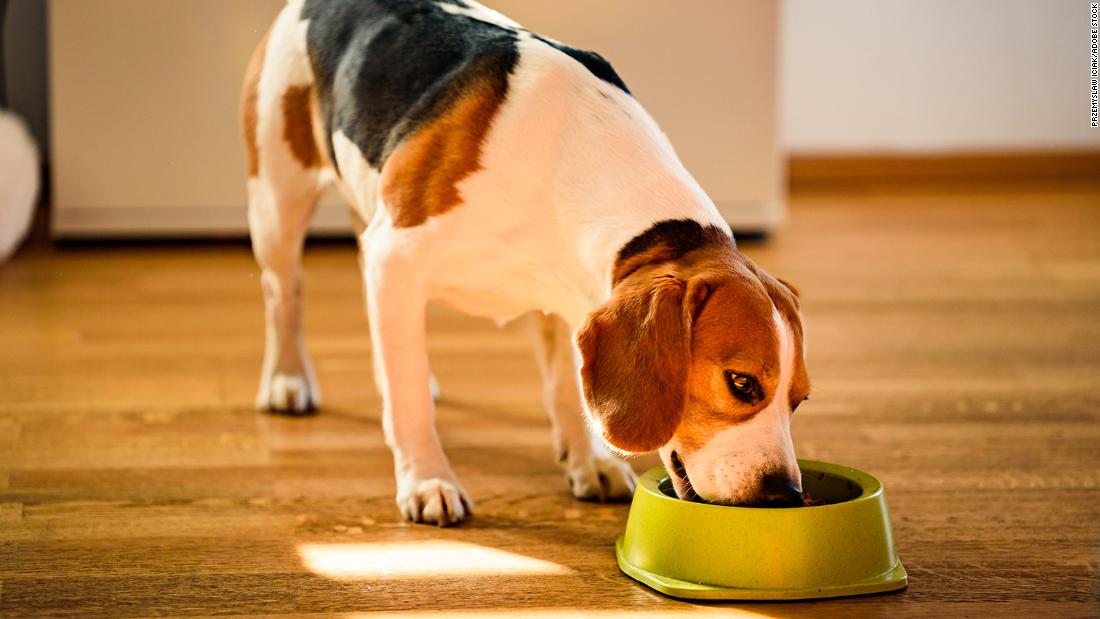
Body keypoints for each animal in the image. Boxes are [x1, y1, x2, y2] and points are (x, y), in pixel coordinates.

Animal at [240, 0, 809, 525]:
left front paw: (587, 462)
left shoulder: (568, 300)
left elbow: (565, 388)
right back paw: (288, 379)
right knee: (283, 292)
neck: (569, 162)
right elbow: (409, 403)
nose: (786, 495)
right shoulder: (395, 256)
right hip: (278, 204)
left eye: (799, 400)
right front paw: (427, 479)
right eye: (741, 383)